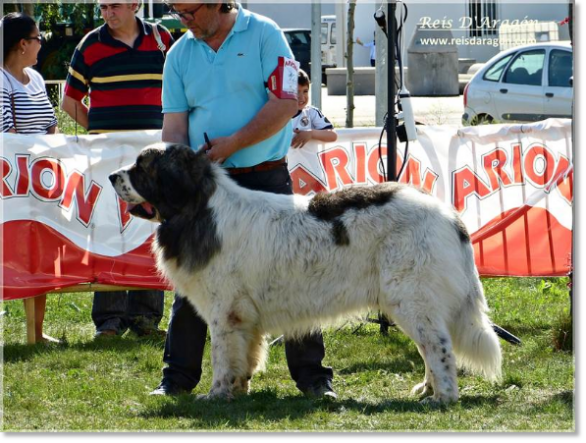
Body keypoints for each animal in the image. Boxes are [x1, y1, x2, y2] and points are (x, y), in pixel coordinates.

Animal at [110, 143, 502, 406]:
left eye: (142, 167)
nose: (113, 176)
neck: (198, 208)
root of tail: (449, 215)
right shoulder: (244, 318)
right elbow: (243, 356)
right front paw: (239, 390)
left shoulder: (225, 313)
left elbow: (221, 357)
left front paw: (216, 394)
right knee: (430, 346)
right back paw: (428, 389)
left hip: (410, 298)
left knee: (438, 346)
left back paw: (443, 397)